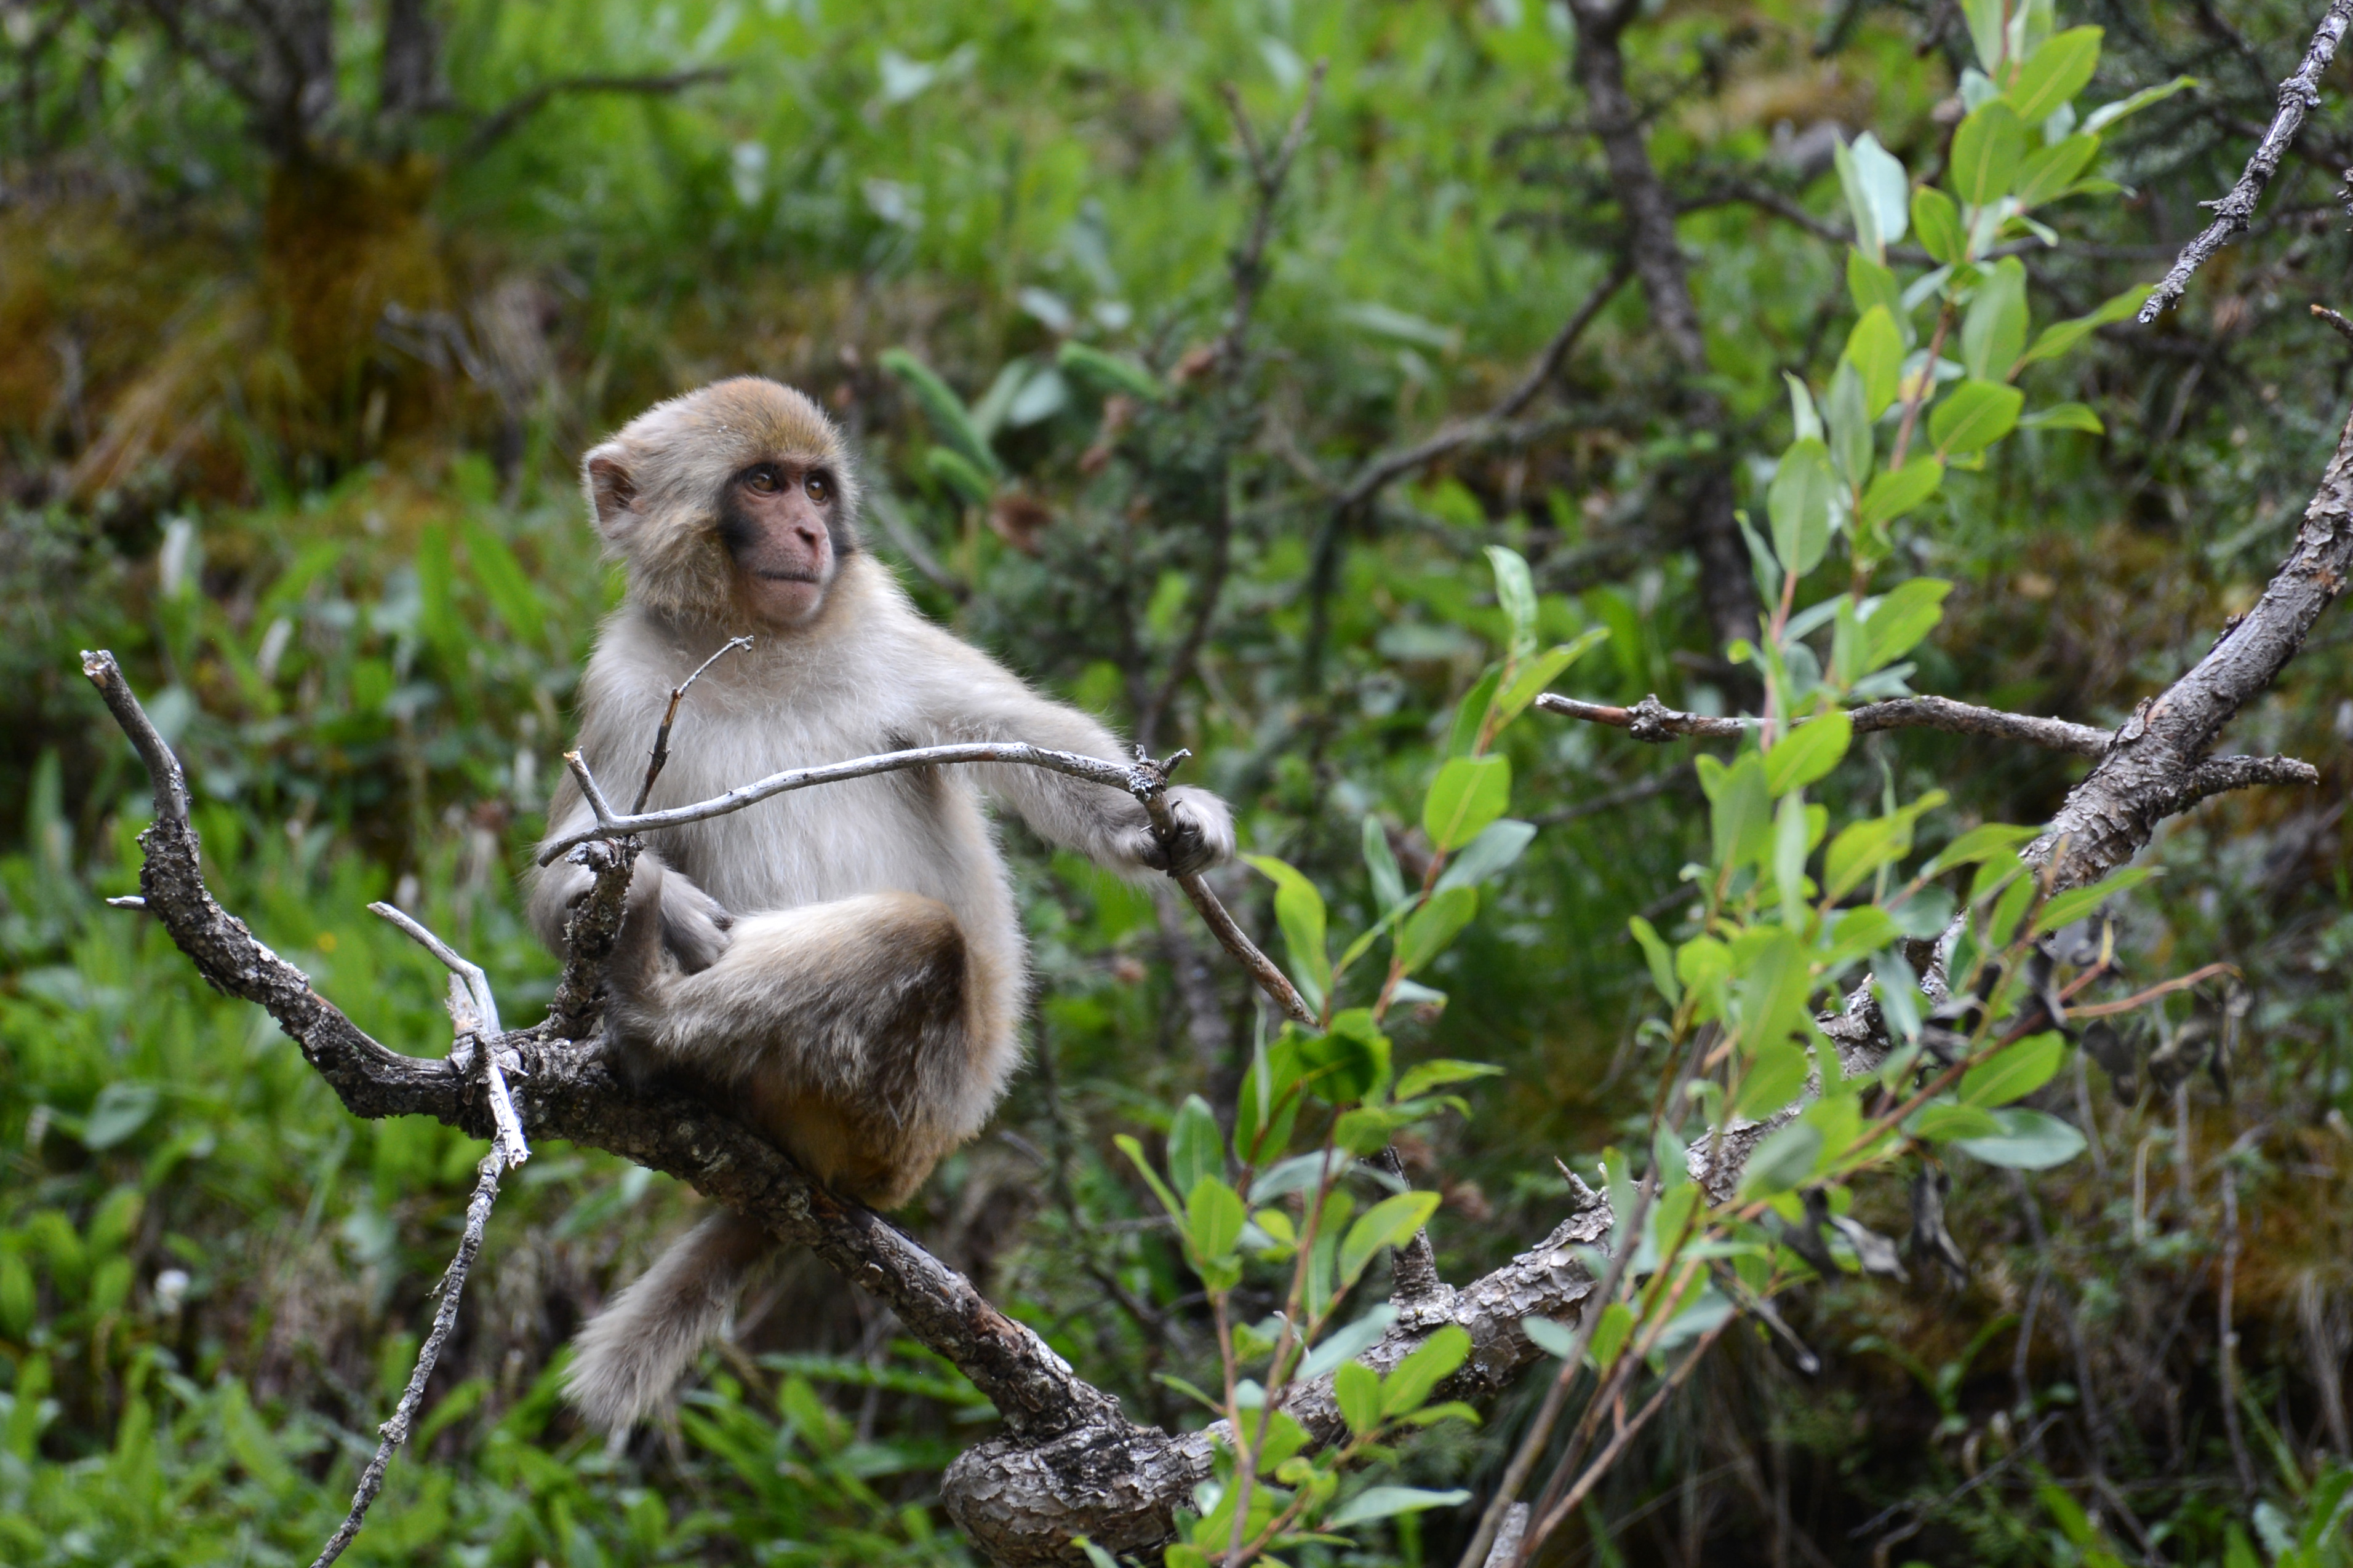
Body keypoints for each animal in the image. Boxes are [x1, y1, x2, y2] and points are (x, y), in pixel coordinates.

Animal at [527, 381, 1242, 1438]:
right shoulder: (622, 685)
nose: (808, 531)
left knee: (920, 941)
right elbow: (565, 862)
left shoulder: (884, 628)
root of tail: (886, 1175)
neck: (752, 641)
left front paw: (1169, 818)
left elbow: (1031, 746)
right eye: (765, 482)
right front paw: (633, 893)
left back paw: (650, 1017)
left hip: (900, 1101)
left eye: (817, 486)